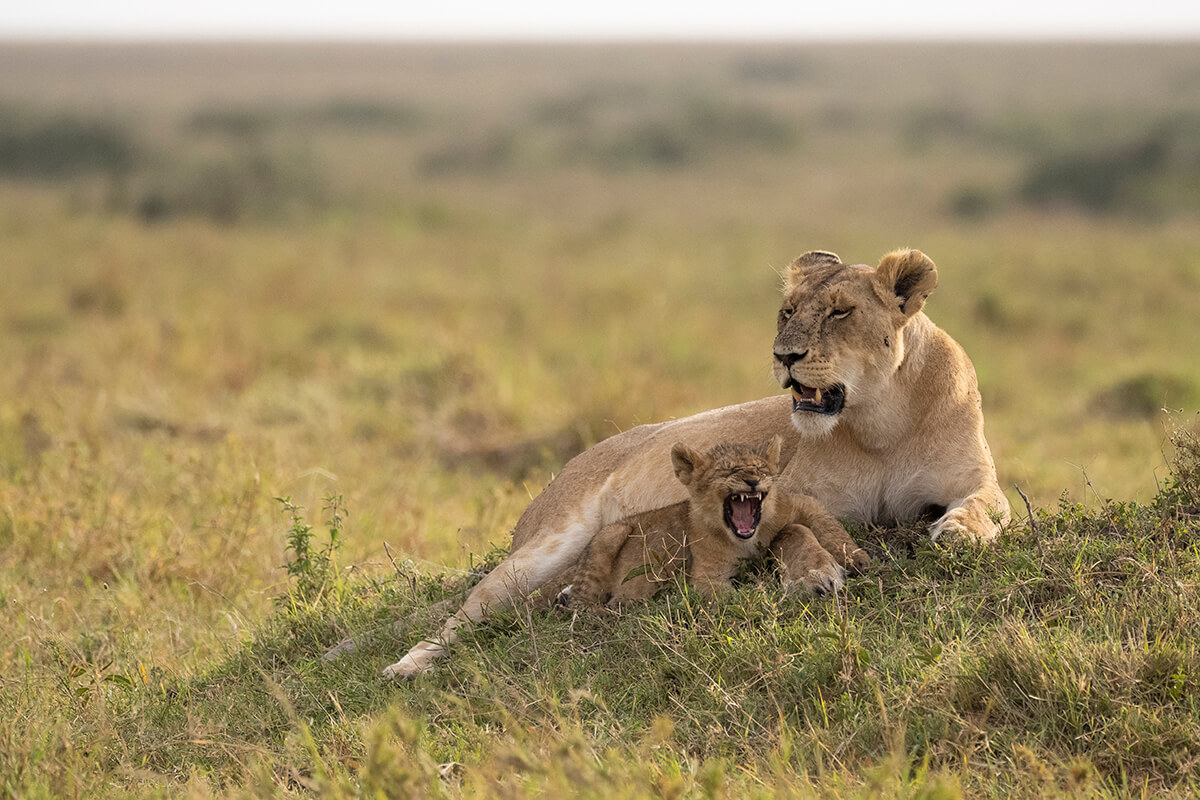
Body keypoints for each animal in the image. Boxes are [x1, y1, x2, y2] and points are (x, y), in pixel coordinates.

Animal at [560, 436, 869, 606]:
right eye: (727, 472)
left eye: (759, 469)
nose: (752, 481)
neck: (746, 539)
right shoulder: (706, 577)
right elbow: (729, 595)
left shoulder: (791, 505)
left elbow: (823, 520)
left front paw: (854, 557)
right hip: (608, 536)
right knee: (583, 604)